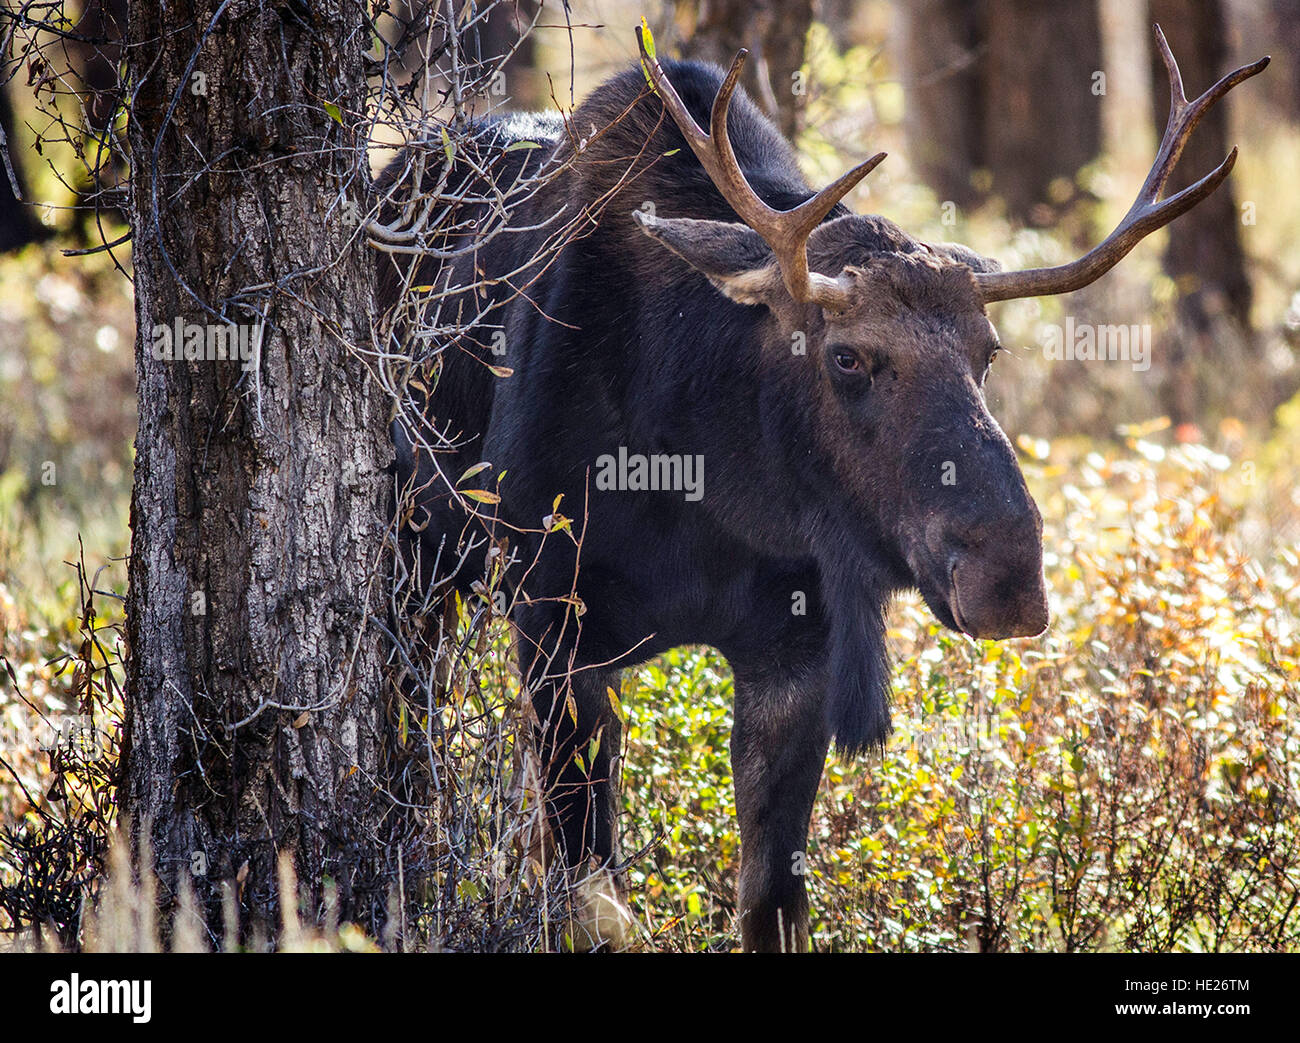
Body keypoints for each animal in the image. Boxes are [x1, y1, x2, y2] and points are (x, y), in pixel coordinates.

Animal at [379, 26, 1268, 951]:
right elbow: (593, 898)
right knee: (405, 742)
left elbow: (770, 899)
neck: (706, 486)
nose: (1009, 581)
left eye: (987, 351)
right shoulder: (555, 621)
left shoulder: (795, 651)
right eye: (847, 356)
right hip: (413, 560)